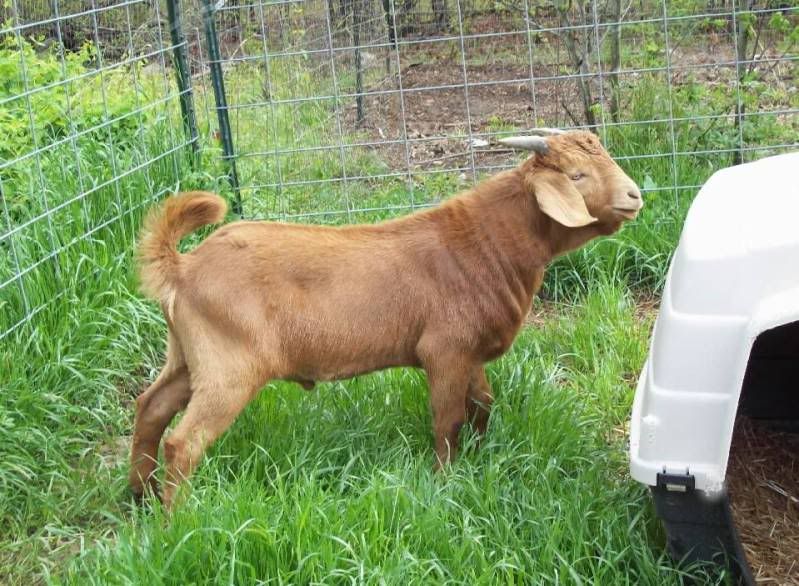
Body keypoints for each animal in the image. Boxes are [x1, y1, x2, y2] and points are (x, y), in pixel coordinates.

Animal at [130, 130, 643, 508]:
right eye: (577, 175)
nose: (635, 196)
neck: (486, 243)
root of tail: (183, 267)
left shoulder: (471, 352)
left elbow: (482, 404)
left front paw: (480, 457)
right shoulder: (445, 351)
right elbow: (447, 419)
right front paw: (444, 481)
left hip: (188, 356)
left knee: (151, 408)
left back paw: (141, 495)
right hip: (229, 366)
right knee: (184, 442)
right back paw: (177, 517)